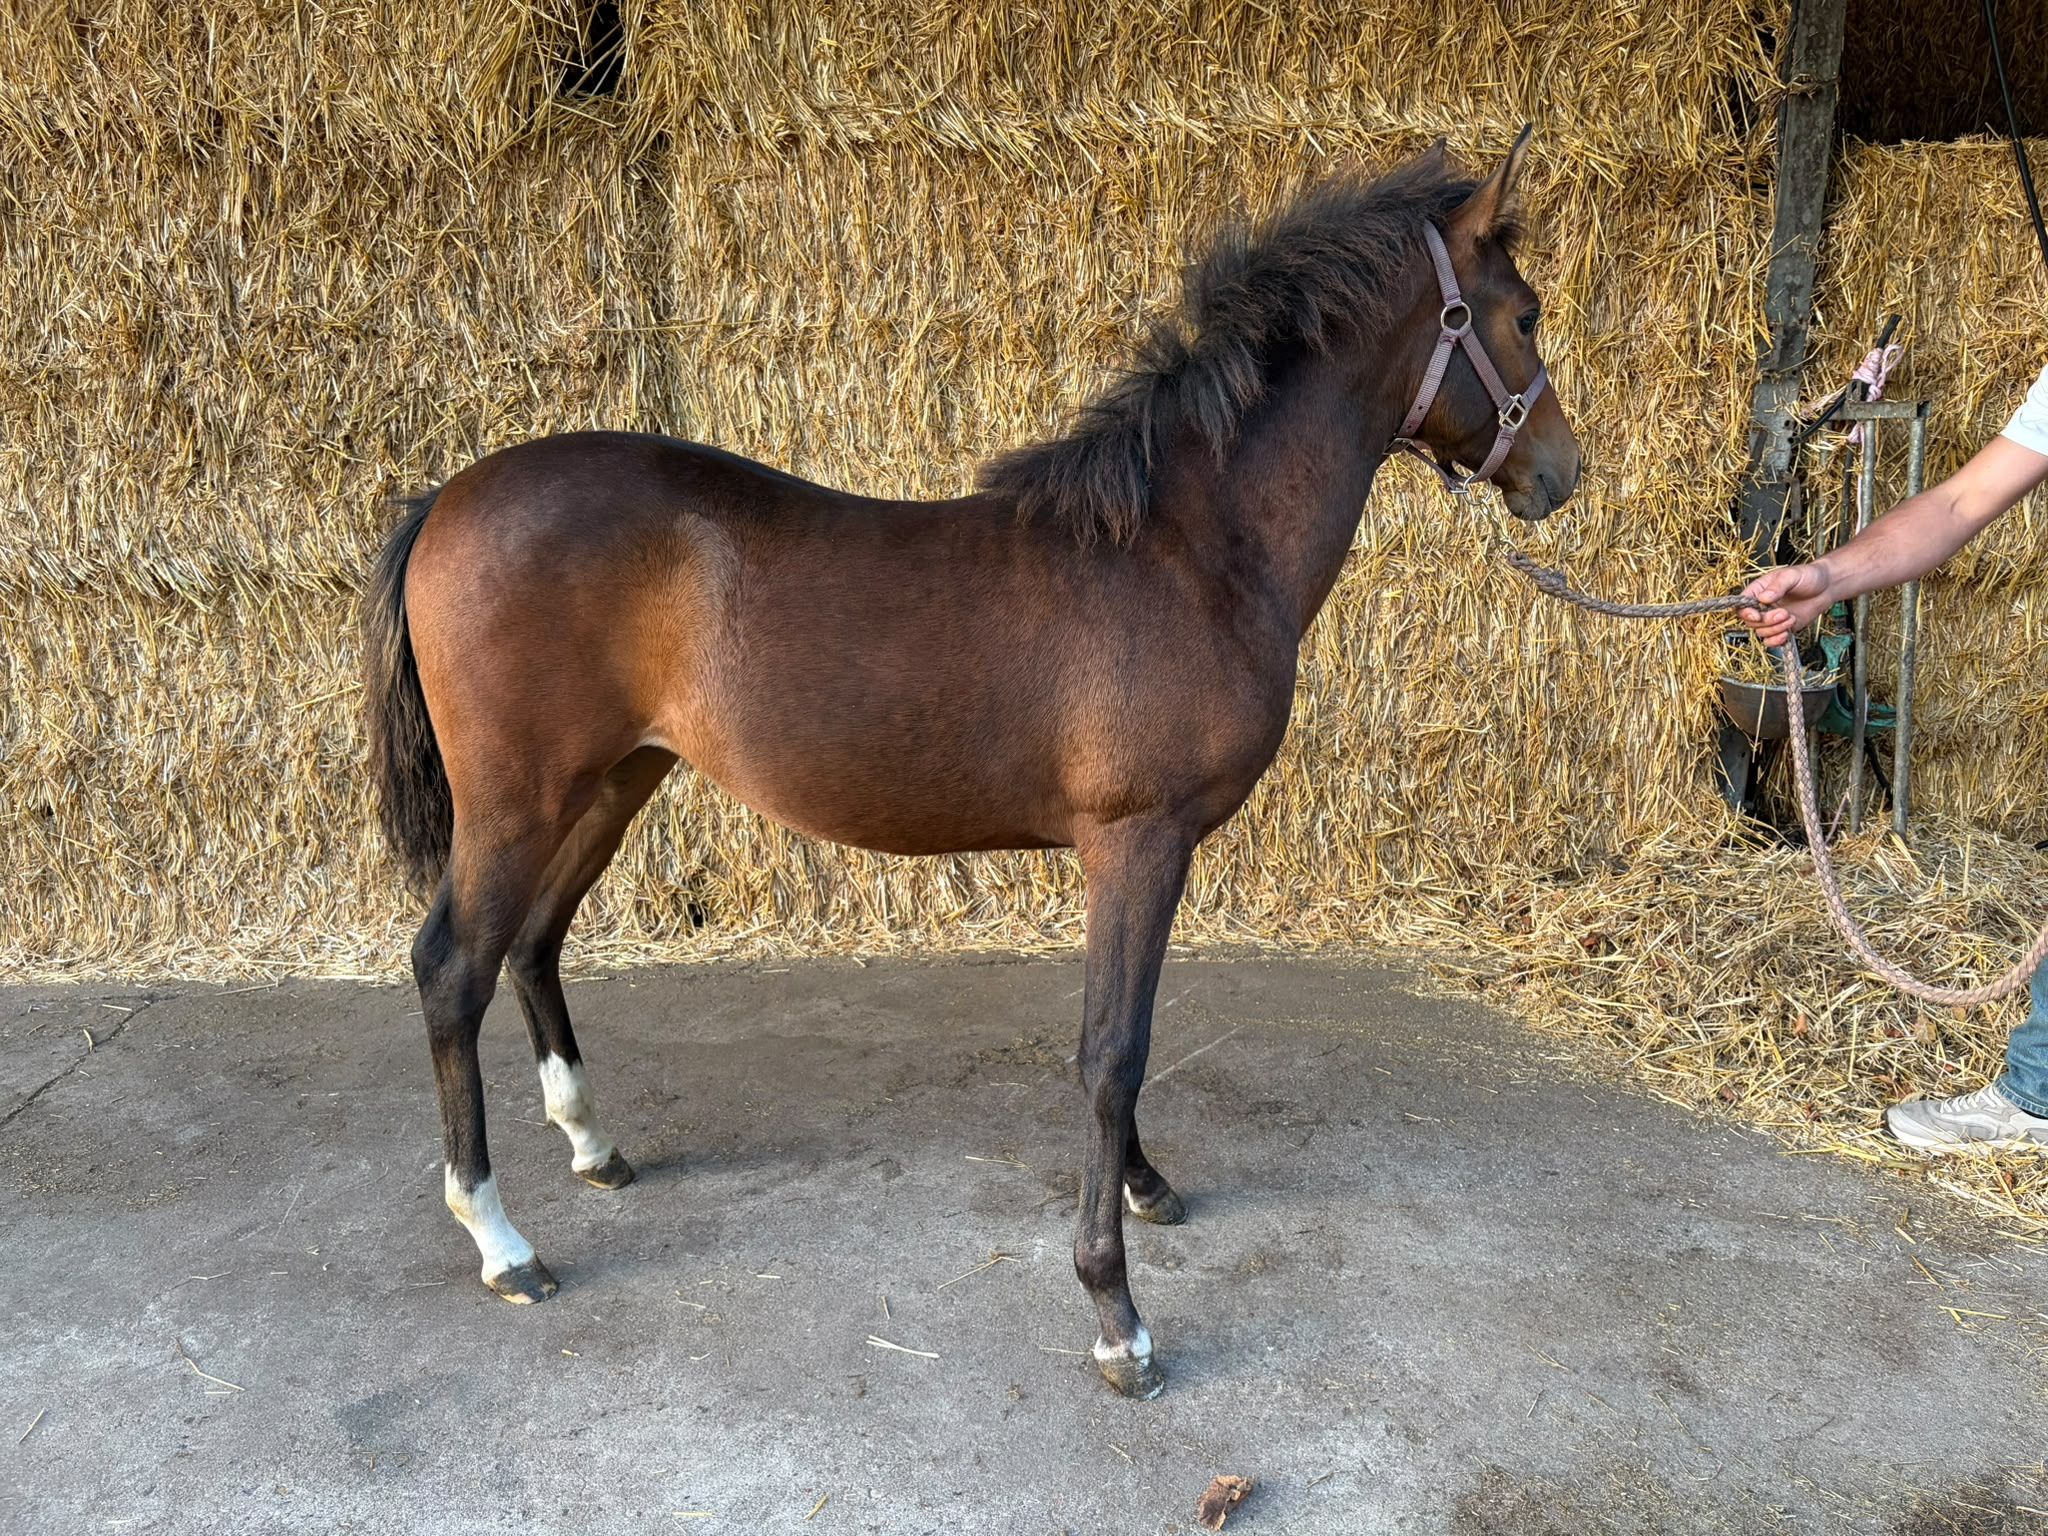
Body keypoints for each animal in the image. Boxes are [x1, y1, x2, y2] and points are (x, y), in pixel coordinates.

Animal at [361, 128, 1580, 1399]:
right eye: (1524, 314)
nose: (1562, 471)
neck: (1185, 547)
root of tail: (444, 496)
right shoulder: (1138, 843)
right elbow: (1112, 1052)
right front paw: (1115, 1315)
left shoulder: (1130, 853)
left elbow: (1116, 1041)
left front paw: (1143, 1187)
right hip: (517, 800)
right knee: (453, 967)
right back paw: (502, 1241)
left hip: (611, 782)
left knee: (535, 943)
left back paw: (594, 1145)